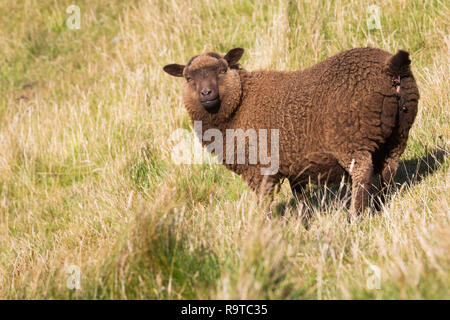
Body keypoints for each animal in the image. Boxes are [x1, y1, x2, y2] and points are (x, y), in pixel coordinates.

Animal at [163, 47, 420, 218]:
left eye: (222, 70)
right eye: (188, 78)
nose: (206, 93)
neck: (240, 103)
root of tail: (391, 67)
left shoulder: (260, 167)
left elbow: (264, 200)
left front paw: (264, 229)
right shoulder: (296, 164)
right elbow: (300, 198)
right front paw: (304, 223)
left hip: (351, 137)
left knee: (362, 171)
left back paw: (355, 217)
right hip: (398, 134)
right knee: (388, 168)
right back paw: (380, 205)